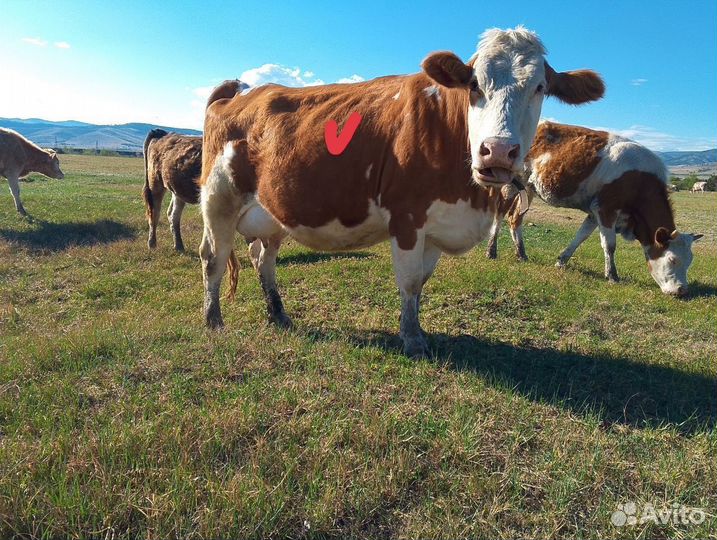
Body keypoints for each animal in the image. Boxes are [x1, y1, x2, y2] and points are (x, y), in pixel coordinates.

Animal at [199, 26, 600, 358]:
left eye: (540, 87)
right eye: (474, 84)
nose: (497, 151)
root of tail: (240, 91)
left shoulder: (437, 228)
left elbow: (420, 283)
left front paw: (415, 327)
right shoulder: (407, 217)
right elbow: (408, 281)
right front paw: (412, 340)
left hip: (271, 212)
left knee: (262, 258)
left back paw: (278, 313)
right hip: (219, 199)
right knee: (213, 257)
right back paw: (213, 320)